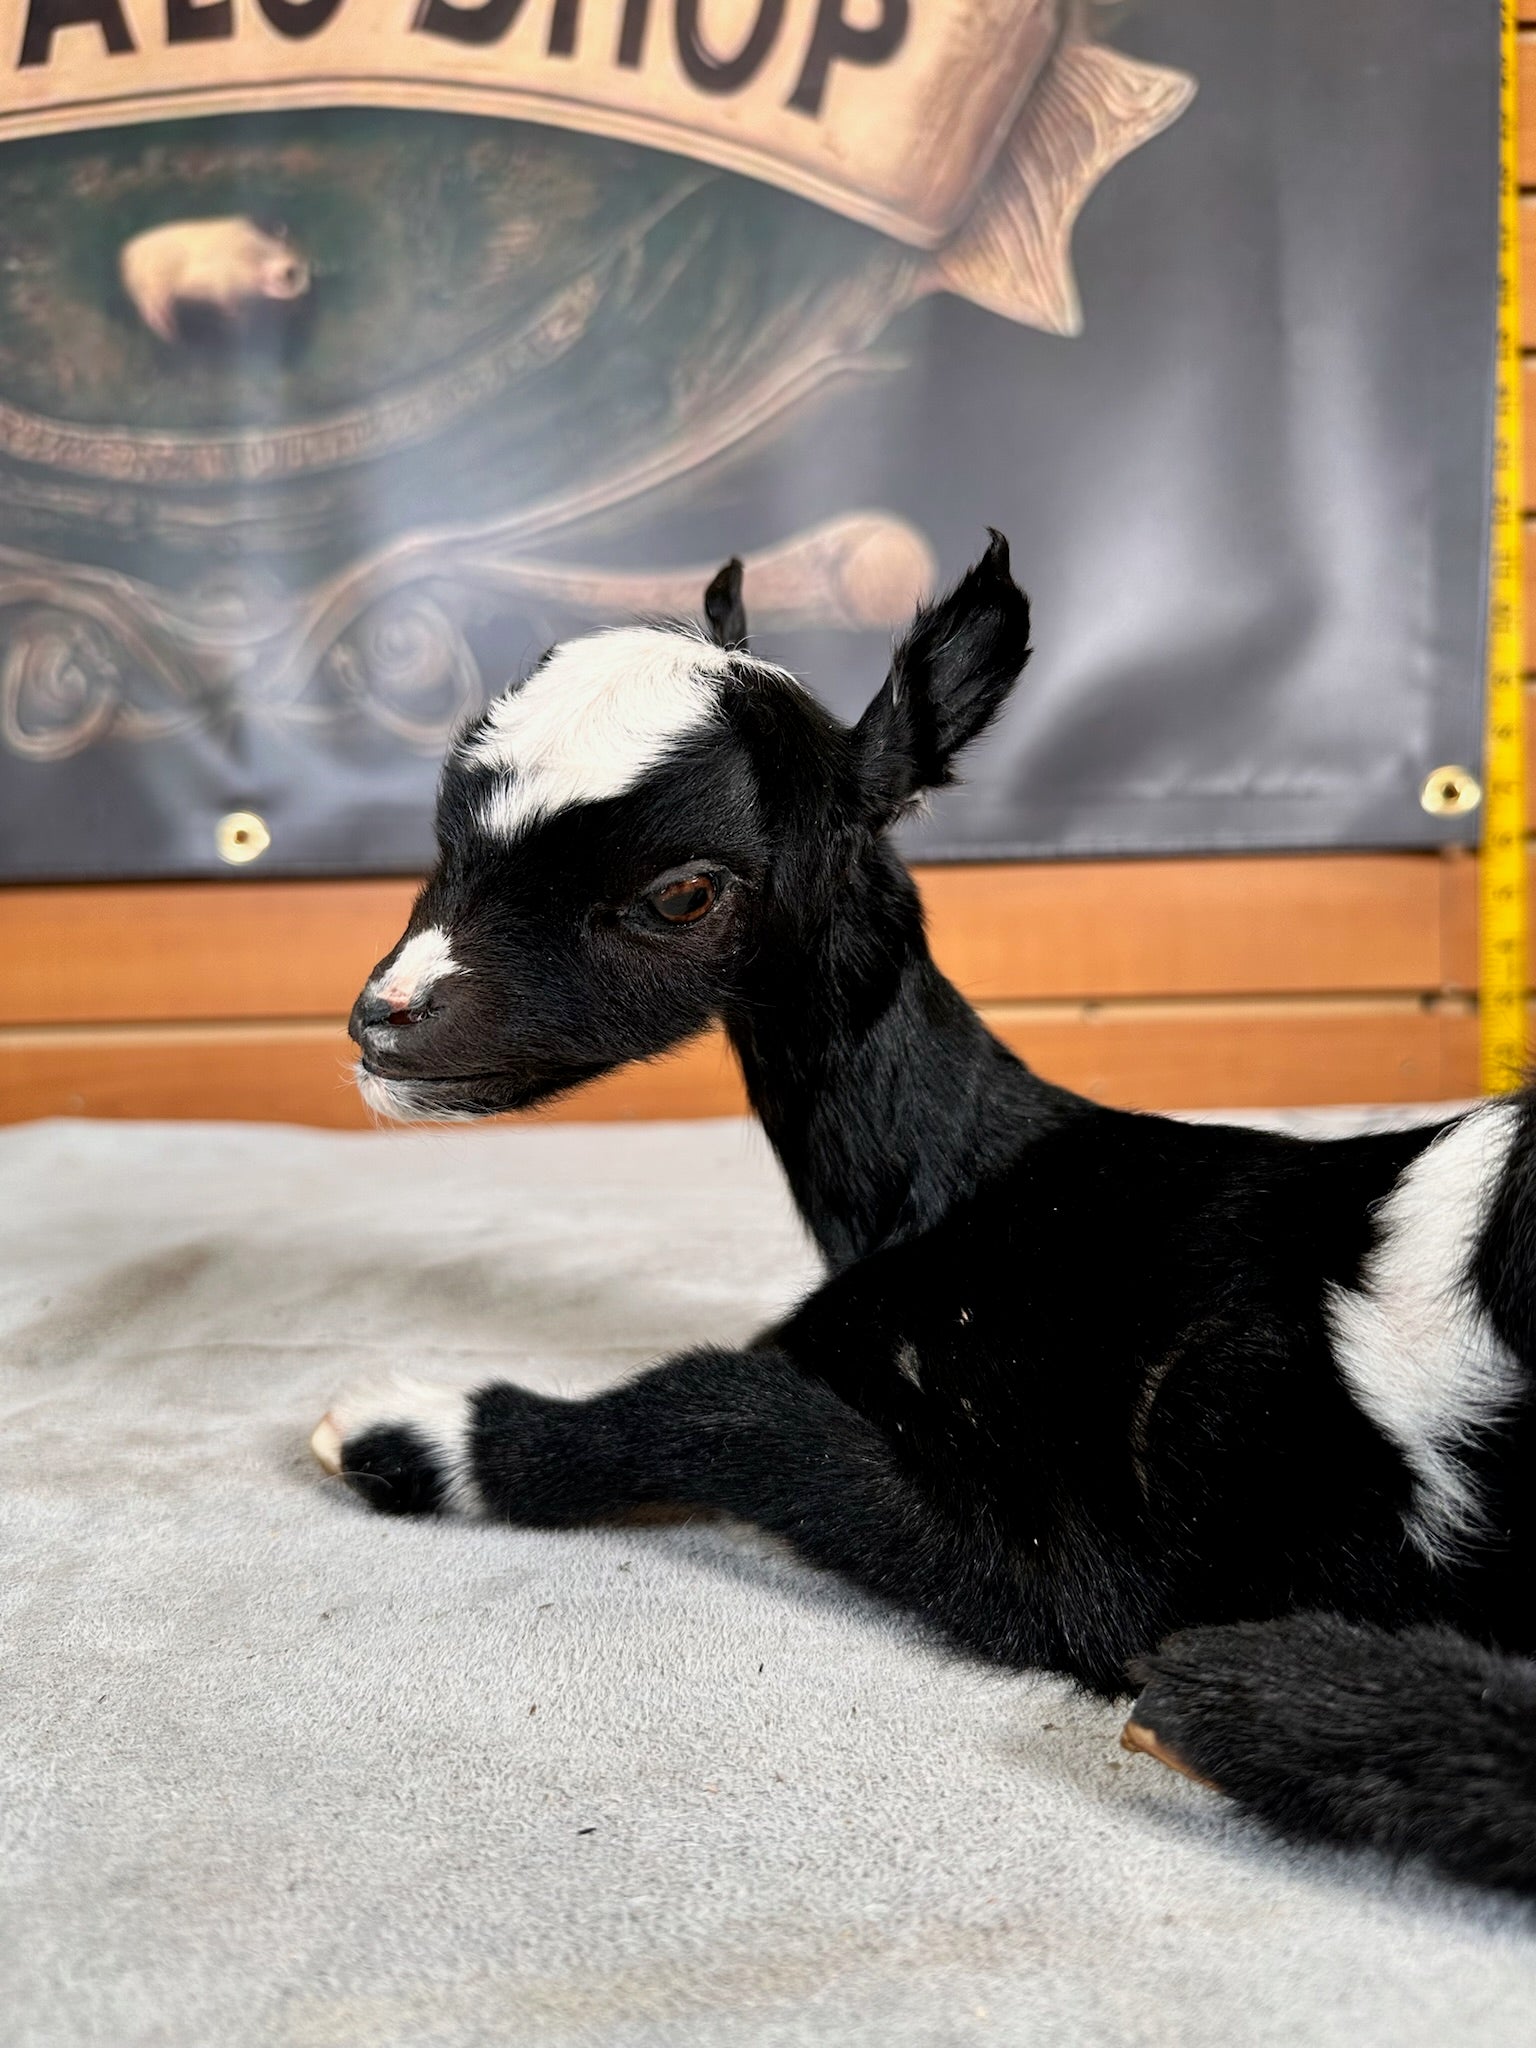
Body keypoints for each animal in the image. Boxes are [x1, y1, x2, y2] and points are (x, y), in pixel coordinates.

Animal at [312, 537, 1536, 1895]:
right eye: (444, 823)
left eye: (683, 892)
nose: (383, 1023)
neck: (971, 1189)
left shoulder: (1068, 1560)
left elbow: (719, 1400)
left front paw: (407, 1429)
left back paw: (1240, 1703)